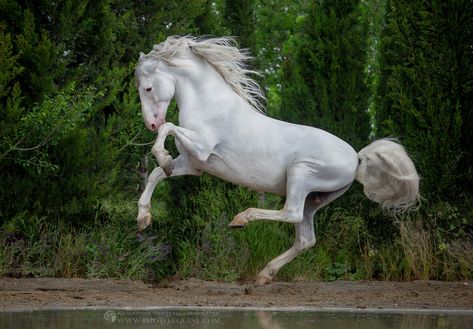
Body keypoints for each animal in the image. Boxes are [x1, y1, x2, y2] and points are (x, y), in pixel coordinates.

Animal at [135, 36, 418, 284]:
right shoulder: (193, 164)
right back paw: (264, 275)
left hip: (300, 175)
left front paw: (162, 156)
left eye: (148, 88)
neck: (208, 103)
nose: (151, 123)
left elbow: (169, 128)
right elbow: (157, 174)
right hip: (315, 198)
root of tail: (357, 158)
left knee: (290, 213)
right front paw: (143, 218)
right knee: (305, 239)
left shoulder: (202, 146)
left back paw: (242, 220)